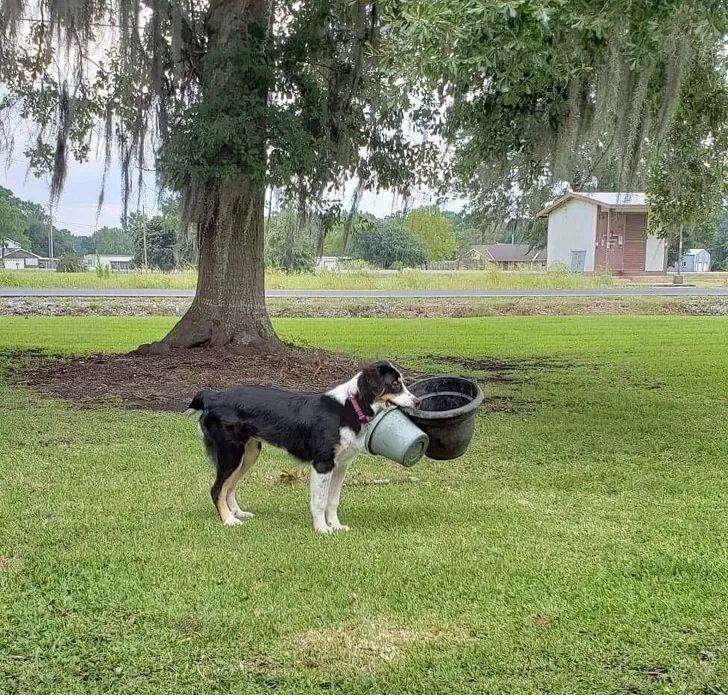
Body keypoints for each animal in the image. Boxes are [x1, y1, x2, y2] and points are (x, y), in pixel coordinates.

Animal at [185, 364, 418, 532]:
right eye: (395, 384)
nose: (416, 402)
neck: (350, 406)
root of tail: (212, 396)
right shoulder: (322, 464)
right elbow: (320, 502)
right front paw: (322, 529)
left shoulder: (341, 466)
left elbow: (333, 501)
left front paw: (336, 526)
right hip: (231, 453)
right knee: (217, 489)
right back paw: (228, 521)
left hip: (248, 454)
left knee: (229, 487)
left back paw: (237, 513)